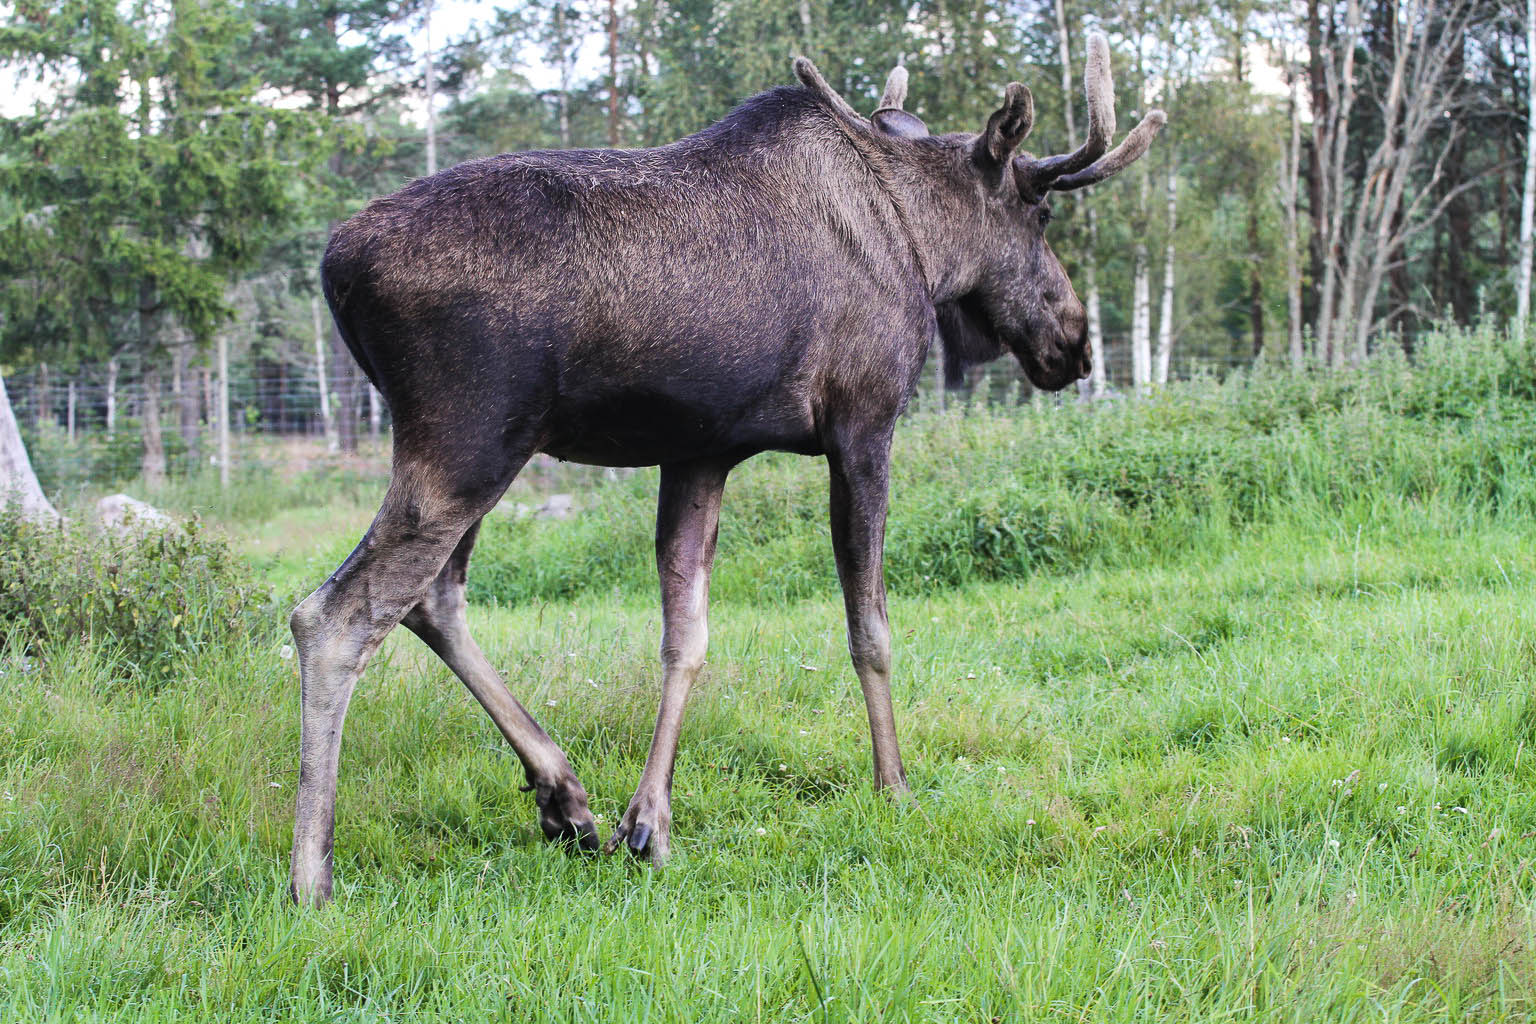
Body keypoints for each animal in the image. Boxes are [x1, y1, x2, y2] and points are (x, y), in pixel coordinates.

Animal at [289, 34, 1163, 906]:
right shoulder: (864, 422)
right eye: (1040, 211)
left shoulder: (701, 450)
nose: (1075, 342)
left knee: (432, 599)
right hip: (469, 439)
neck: (924, 248)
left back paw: (565, 797)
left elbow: (686, 633)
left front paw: (649, 820)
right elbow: (870, 628)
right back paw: (312, 876)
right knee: (335, 614)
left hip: (478, 448)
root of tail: (334, 265)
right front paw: (894, 787)